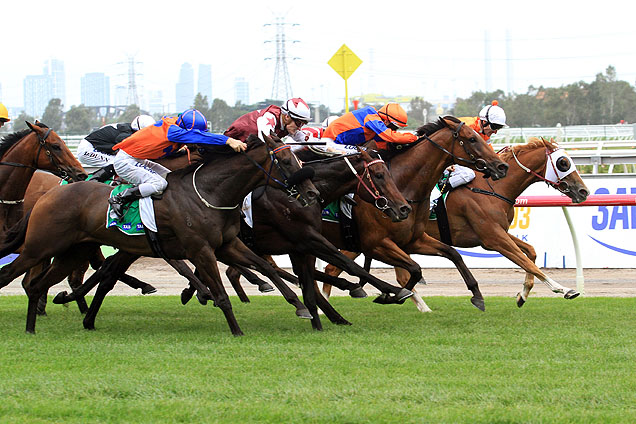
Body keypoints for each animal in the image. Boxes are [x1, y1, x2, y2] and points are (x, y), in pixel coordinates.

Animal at [0, 133, 318, 334]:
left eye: (298, 159)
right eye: (287, 162)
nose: (313, 194)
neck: (209, 192)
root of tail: (48, 194)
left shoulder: (227, 244)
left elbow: (266, 267)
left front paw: (300, 306)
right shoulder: (201, 250)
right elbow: (220, 292)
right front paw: (236, 330)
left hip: (72, 252)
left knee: (37, 285)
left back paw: (32, 328)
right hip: (39, 246)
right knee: (12, 276)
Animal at [320, 116, 510, 312]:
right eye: (472, 139)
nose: (502, 166)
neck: (403, 188)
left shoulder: (413, 240)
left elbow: (452, 254)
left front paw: (477, 295)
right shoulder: (376, 244)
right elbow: (415, 269)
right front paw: (392, 296)